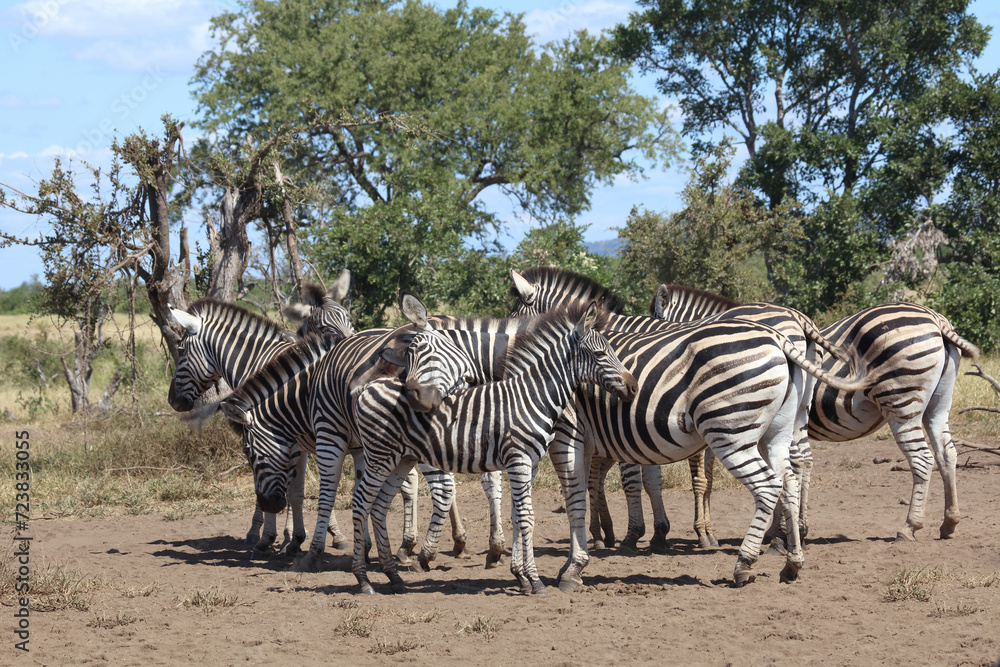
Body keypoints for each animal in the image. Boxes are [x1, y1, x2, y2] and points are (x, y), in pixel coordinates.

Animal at [352, 302, 638, 595]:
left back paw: (393, 575)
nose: (633, 387)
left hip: (401, 459)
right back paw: (364, 579)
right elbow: (527, 517)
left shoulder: (530, 462)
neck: (533, 394)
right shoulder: (519, 459)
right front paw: (534, 580)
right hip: (379, 457)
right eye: (601, 354)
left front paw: (521, 576)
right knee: (361, 503)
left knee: (378, 506)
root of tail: (368, 388)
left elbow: (518, 515)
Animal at [505, 266, 874, 588]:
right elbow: (641, 481)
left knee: (769, 485)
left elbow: (591, 493)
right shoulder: (624, 432)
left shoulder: (579, 433)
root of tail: (787, 333)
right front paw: (650, 534)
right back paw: (790, 559)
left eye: (515, 312)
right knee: (792, 479)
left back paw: (746, 561)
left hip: (729, 431)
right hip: (780, 429)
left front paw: (599, 552)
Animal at [651, 284, 981, 543]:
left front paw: (705, 533)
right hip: (938, 405)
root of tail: (937, 320)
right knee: (947, 453)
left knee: (922, 458)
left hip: (901, 401)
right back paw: (949, 523)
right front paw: (784, 528)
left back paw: (909, 527)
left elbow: (705, 479)